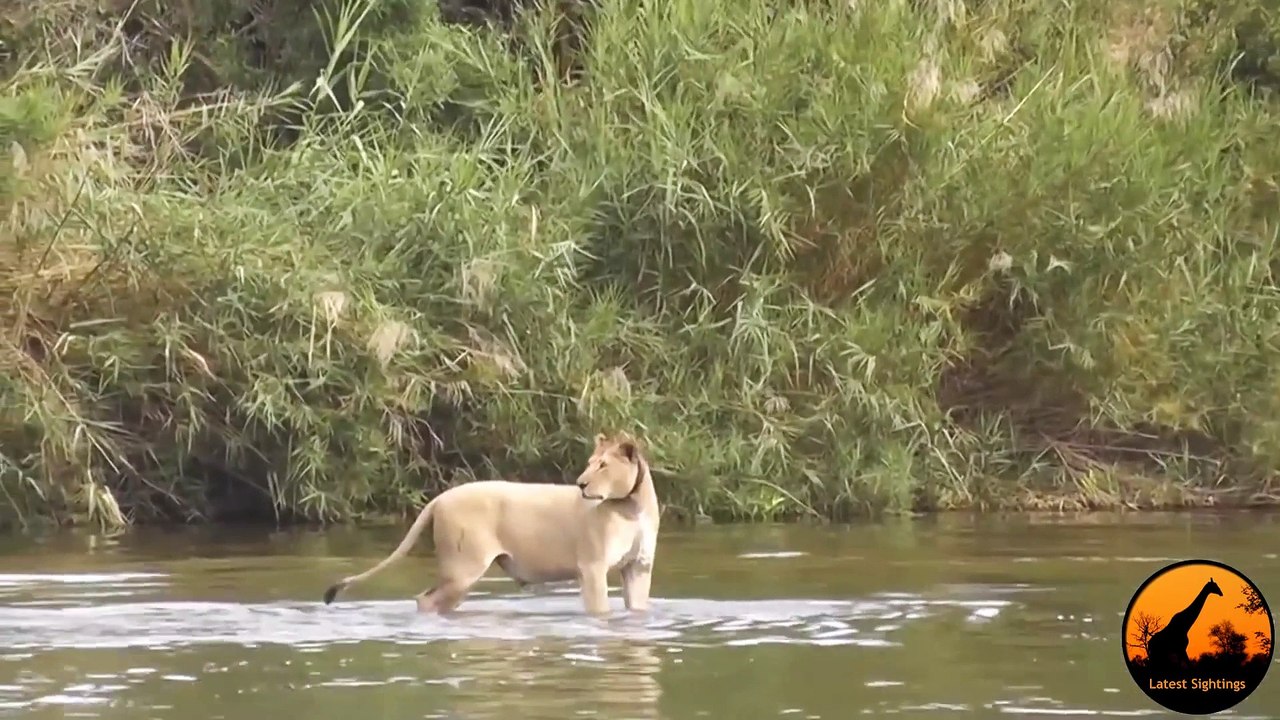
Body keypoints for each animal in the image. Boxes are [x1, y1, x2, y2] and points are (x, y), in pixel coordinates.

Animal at [321, 432, 660, 616]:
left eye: (603, 465)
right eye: (591, 463)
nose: (581, 484)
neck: (631, 507)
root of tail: (439, 498)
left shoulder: (639, 567)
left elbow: (638, 607)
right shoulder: (591, 567)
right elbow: (600, 610)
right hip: (463, 568)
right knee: (425, 599)